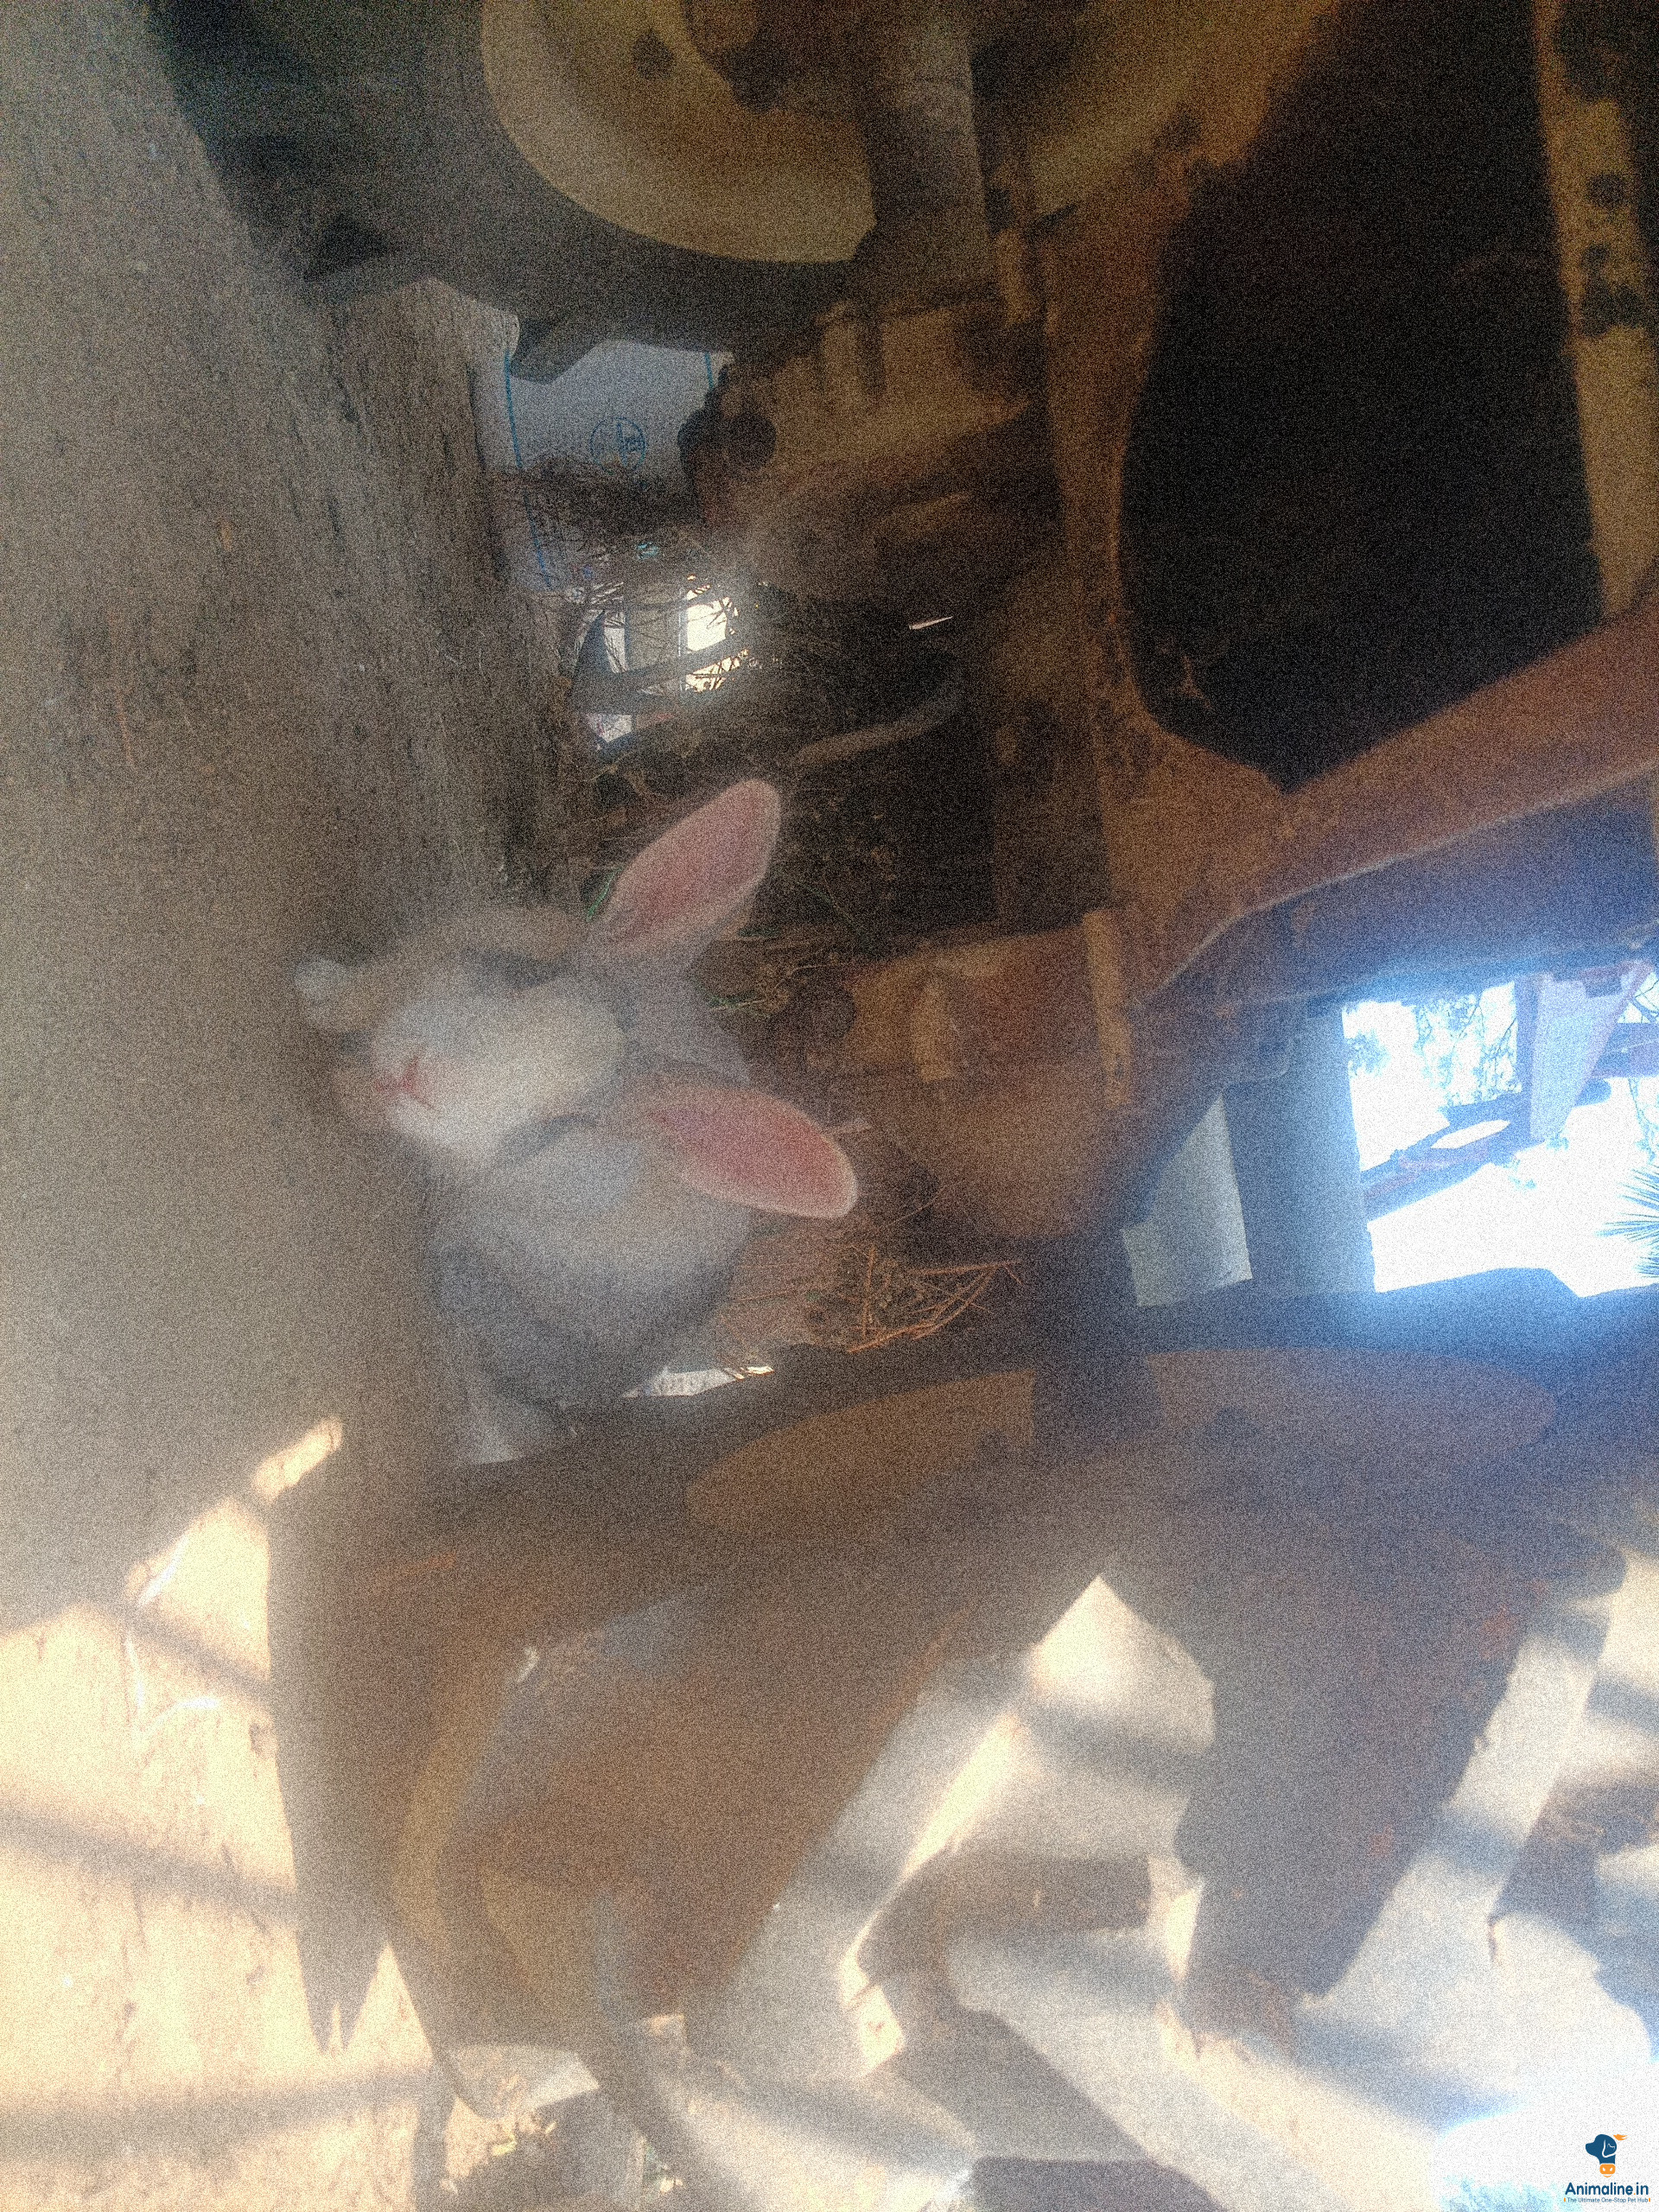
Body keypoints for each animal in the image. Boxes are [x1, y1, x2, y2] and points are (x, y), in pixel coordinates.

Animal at [296, 780, 857, 1459]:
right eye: (529, 979)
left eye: (569, 1126)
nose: (416, 1075)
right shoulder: (436, 952)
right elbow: (368, 992)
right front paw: (315, 993)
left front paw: (346, 1082)